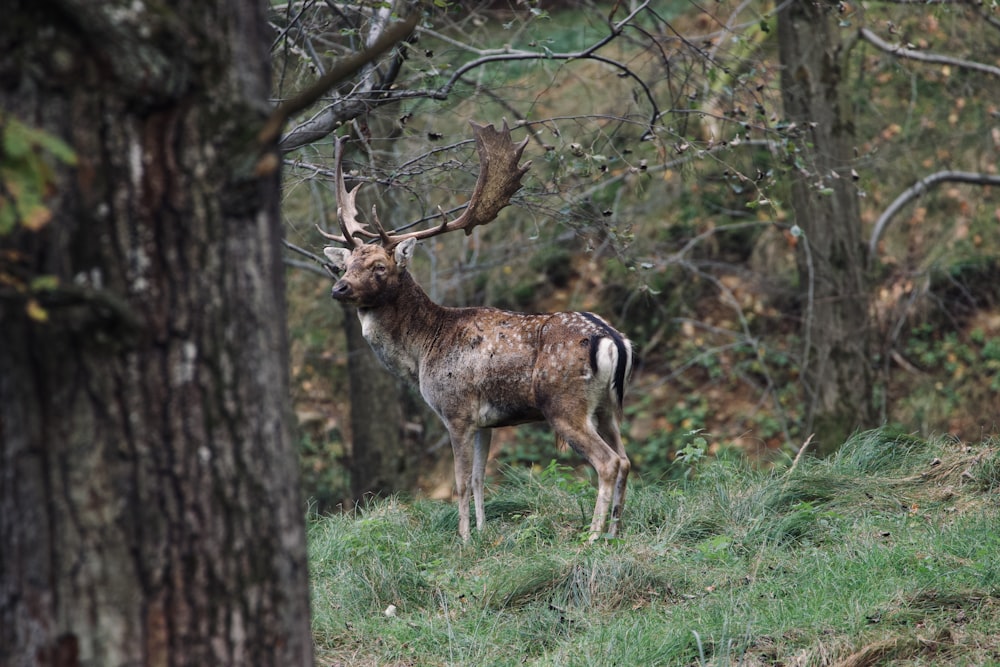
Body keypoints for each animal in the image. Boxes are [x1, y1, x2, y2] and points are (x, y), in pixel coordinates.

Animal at [320, 121, 632, 544]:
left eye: (379, 267)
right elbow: (482, 478)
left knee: (608, 462)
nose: (339, 289)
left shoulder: (456, 410)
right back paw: (615, 530)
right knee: (626, 459)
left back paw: (594, 536)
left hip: (564, 404)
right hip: (607, 407)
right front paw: (484, 534)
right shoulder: (486, 422)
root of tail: (612, 339)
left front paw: (464, 539)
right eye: (346, 265)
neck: (422, 351)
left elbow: (461, 481)